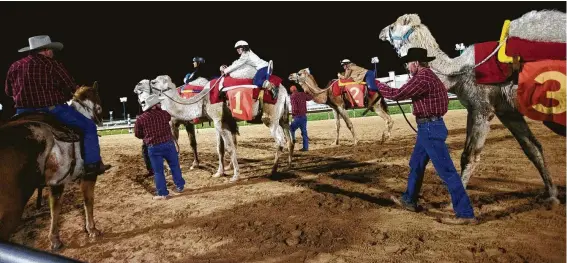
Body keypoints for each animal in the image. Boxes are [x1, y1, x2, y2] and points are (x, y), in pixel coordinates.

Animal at [0, 82, 105, 252]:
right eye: (99, 102)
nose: (100, 120)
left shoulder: (56, 184)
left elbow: (54, 209)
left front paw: (55, 240)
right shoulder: (88, 176)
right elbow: (88, 201)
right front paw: (92, 230)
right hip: (10, 213)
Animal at [380, 9, 564, 204]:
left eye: (393, 26)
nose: (382, 32)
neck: (458, 71)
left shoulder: (482, 108)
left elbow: (469, 156)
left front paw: (454, 203)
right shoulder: (506, 110)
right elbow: (532, 148)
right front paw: (552, 195)